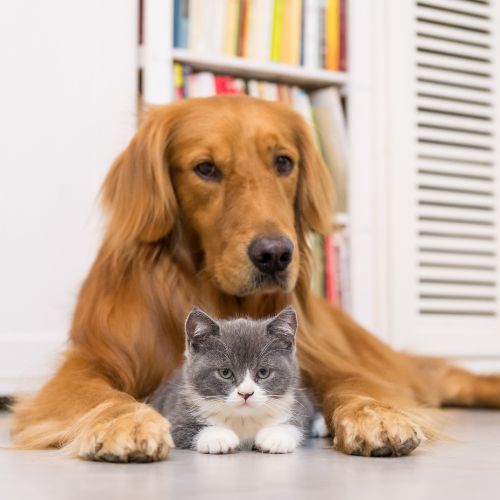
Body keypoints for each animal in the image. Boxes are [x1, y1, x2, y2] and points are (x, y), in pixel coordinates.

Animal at [149, 304, 328, 454]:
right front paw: (218, 437)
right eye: (225, 372)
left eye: (263, 372)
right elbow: (184, 428)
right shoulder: (176, 414)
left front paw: (275, 437)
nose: (246, 393)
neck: (243, 419)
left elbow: (297, 423)